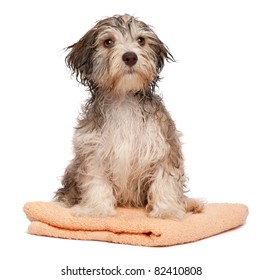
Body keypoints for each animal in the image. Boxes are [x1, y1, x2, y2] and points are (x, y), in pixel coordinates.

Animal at [54, 14, 204, 220]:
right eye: (108, 42)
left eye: (141, 40)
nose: (130, 56)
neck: (124, 99)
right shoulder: (93, 152)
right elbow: (96, 183)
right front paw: (96, 210)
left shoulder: (164, 147)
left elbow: (164, 181)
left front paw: (166, 211)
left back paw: (192, 204)